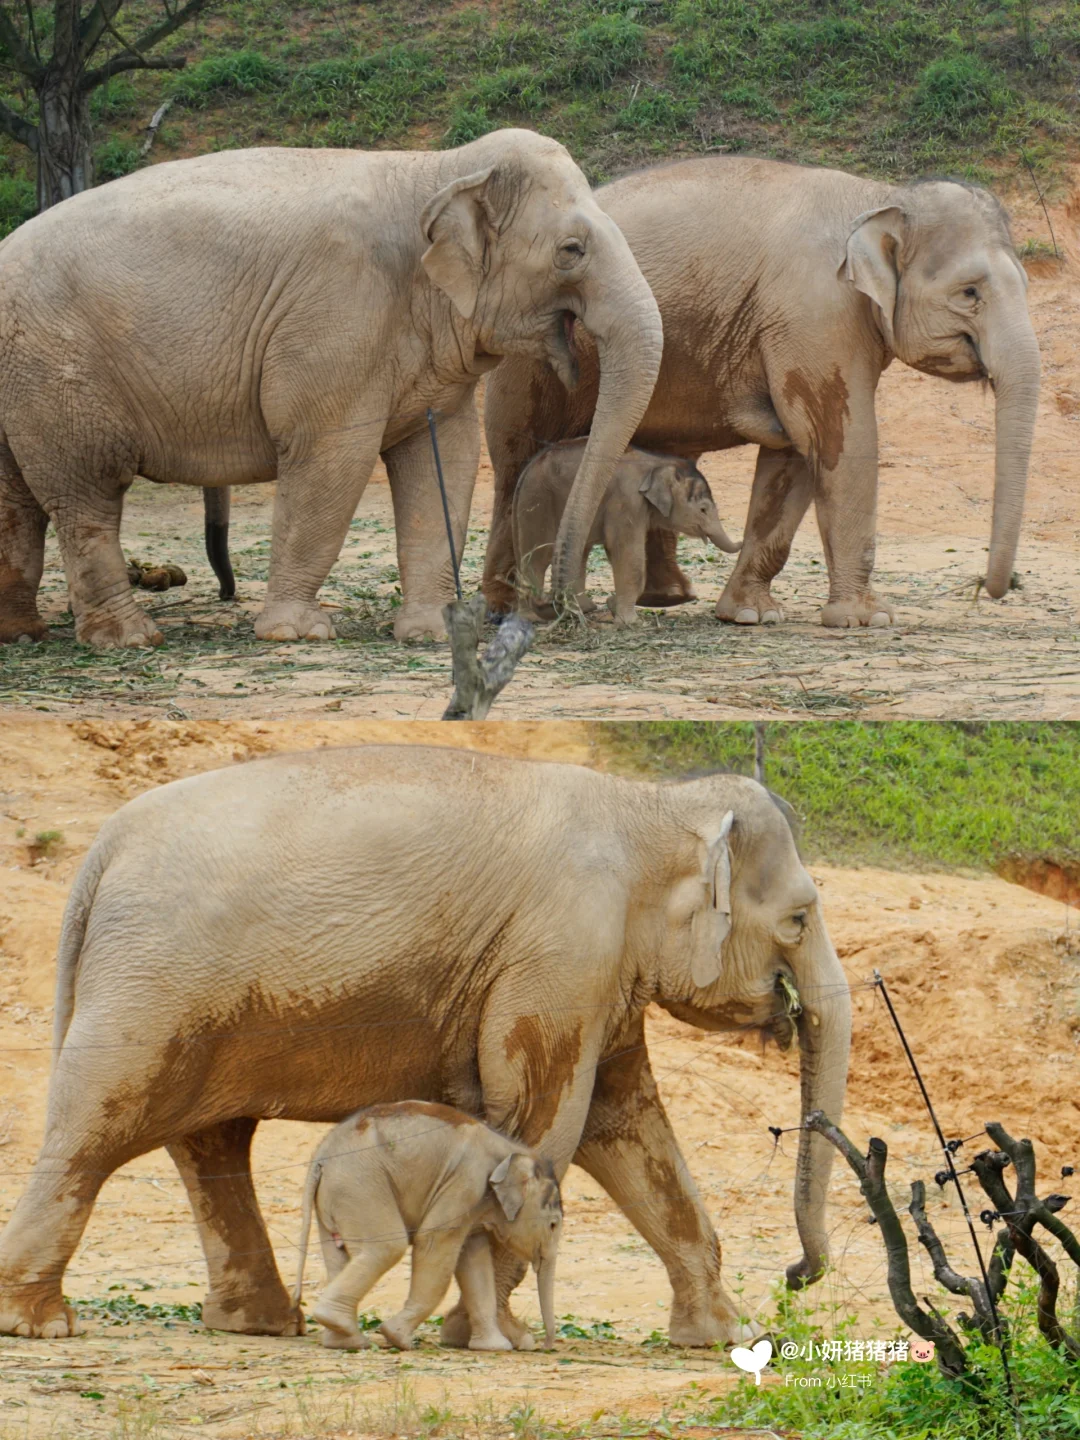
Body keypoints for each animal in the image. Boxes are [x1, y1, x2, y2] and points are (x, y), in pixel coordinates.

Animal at [0, 129, 661, 648]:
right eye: (571, 251)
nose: (572, 614)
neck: (437, 167)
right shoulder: (337, 318)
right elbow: (331, 460)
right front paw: (297, 633)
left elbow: (444, 459)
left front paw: (436, 632)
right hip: (57, 373)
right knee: (86, 494)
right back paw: (129, 639)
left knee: (17, 501)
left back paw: (22, 634)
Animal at [293, 1100, 562, 1352]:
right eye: (553, 1225)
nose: (545, 1346)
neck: (512, 1151)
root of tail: (320, 1156)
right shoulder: (464, 1183)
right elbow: (433, 1244)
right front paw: (397, 1338)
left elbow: (475, 1263)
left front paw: (496, 1347)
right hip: (359, 1185)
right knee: (388, 1247)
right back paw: (347, 1330)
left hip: (335, 1196)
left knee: (337, 1255)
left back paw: (346, 1340)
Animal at [512, 439, 740, 624]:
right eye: (703, 509)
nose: (740, 541)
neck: (657, 463)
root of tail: (527, 469)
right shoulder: (627, 501)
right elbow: (626, 551)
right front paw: (632, 622)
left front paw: (613, 605)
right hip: (538, 502)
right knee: (536, 558)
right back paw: (533, 618)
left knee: (577, 551)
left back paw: (579, 609)